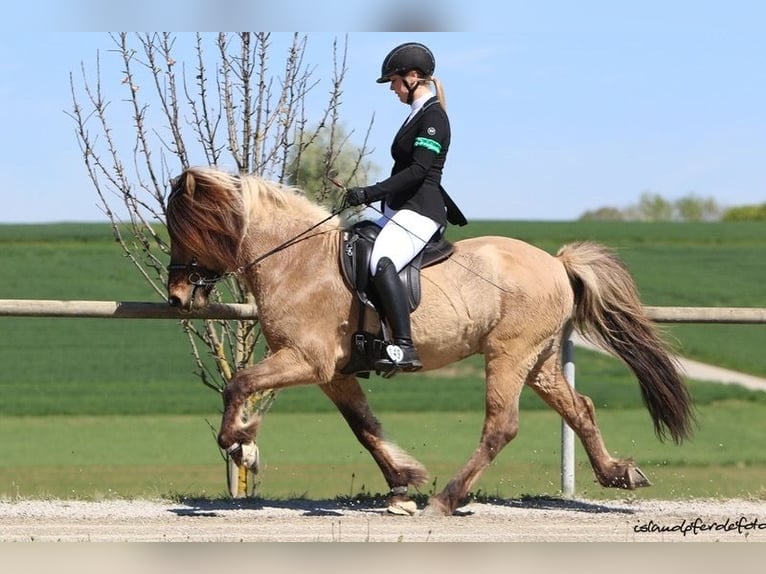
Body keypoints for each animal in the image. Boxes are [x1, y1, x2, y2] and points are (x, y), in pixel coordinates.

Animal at [165, 166, 694, 516]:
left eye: (183, 228)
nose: (176, 297)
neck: (299, 261)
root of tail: (557, 262)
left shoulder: (305, 360)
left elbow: (239, 385)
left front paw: (241, 444)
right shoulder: (334, 373)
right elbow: (364, 427)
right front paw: (402, 483)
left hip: (508, 354)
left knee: (501, 426)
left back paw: (447, 499)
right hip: (539, 360)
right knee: (579, 409)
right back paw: (617, 473)